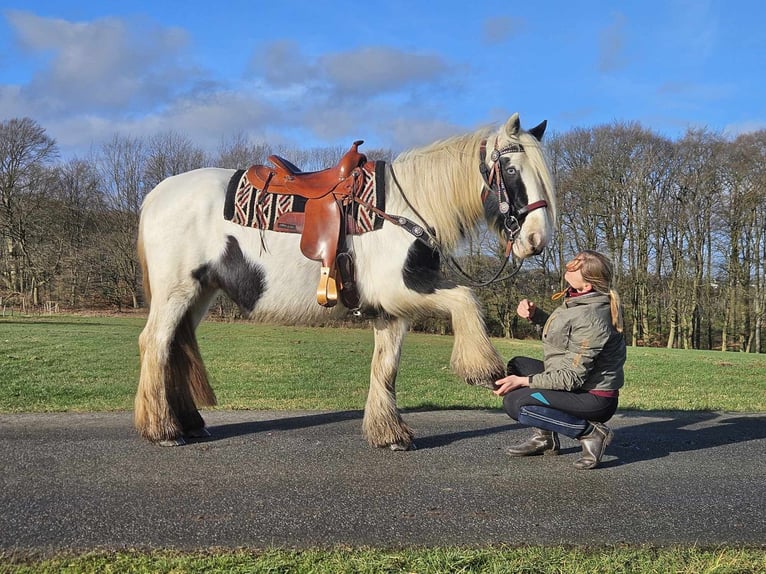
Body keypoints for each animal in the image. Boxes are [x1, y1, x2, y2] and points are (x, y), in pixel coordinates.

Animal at [135, 112, 560, 452]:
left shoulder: (392, 310)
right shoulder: (401, 289)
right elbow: (466, 298)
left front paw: (389, 434)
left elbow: (386, 366)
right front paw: (482, 368)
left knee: (175, 346)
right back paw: (163, 431)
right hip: (177, 291)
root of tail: (157, 194)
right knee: (155, 343)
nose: (537, 240)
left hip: (200, 293)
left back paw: (189, 424)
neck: (404, 210)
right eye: (511, 171)